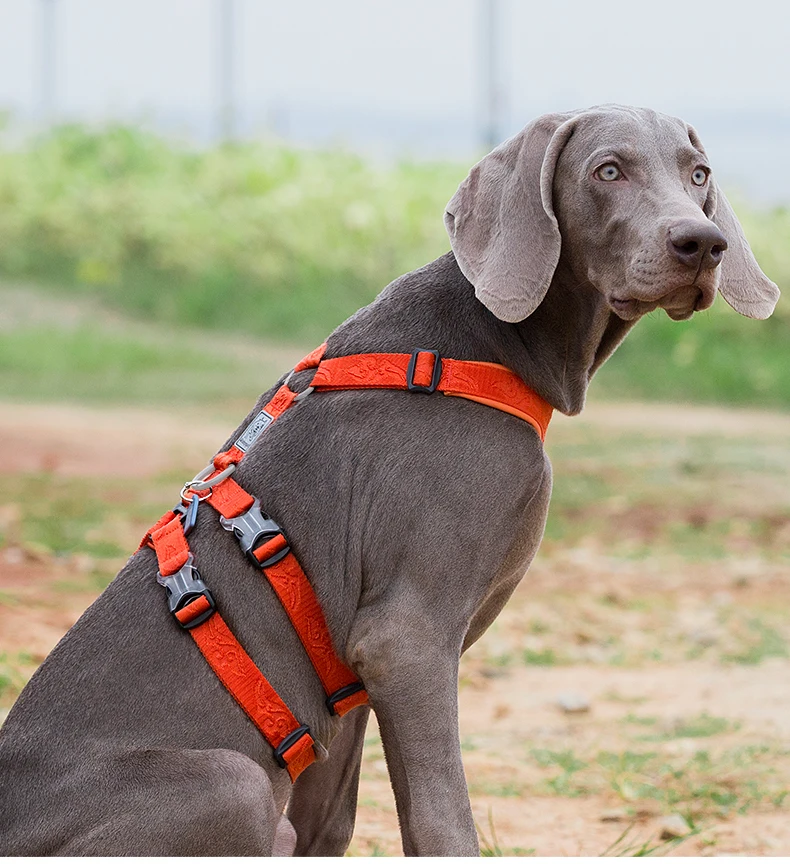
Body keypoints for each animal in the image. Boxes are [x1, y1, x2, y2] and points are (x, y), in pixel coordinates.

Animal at [0, 104, 780, 852]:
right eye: (608, 170)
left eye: (700, 173)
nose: (702, 243)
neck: (490, 344)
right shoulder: (406, 639)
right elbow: (441, 820)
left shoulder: (346, 691)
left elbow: (332, 824)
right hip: (233, 782)